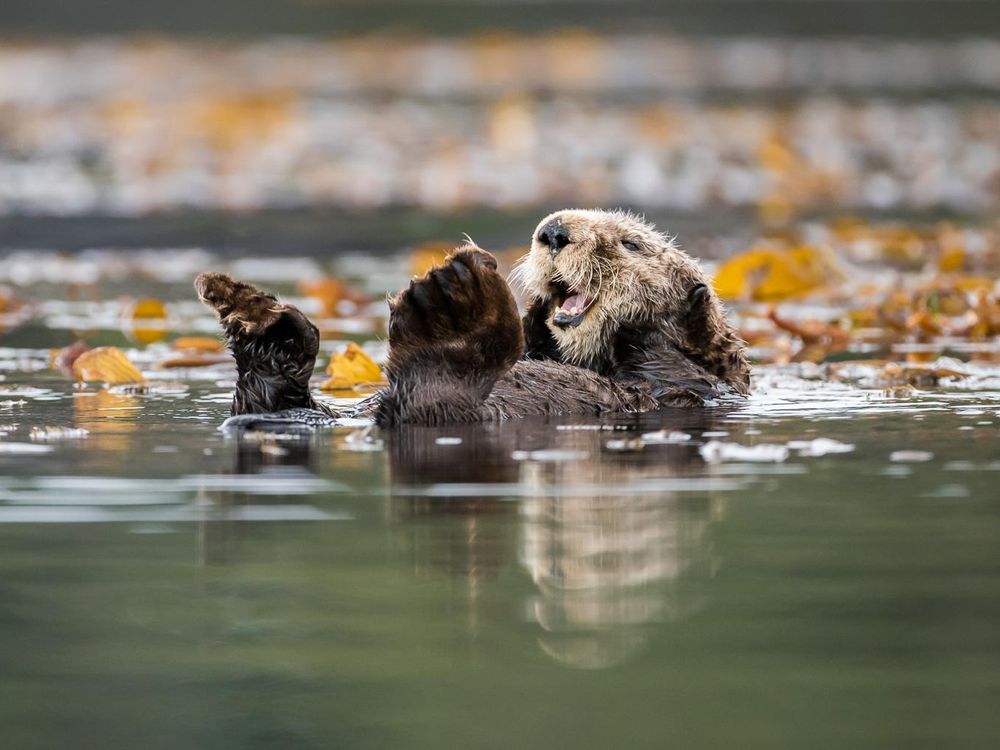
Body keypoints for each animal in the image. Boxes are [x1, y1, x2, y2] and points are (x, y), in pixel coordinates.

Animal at [195, 209, 748, 428]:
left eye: (631, 243)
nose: (553, 231)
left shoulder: (687, 381)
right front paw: (537, 314)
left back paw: (449, 304)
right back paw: (254, 314)